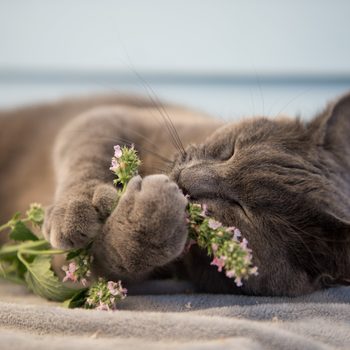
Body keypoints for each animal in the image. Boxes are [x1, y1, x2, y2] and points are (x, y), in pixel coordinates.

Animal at [0, 92, 348, 296]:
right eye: (231, 150)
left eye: (242, 208)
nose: (187, 180)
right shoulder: (113, 117)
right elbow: (86, 152)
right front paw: (77, 211)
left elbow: (98, 265)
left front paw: (148, 220)